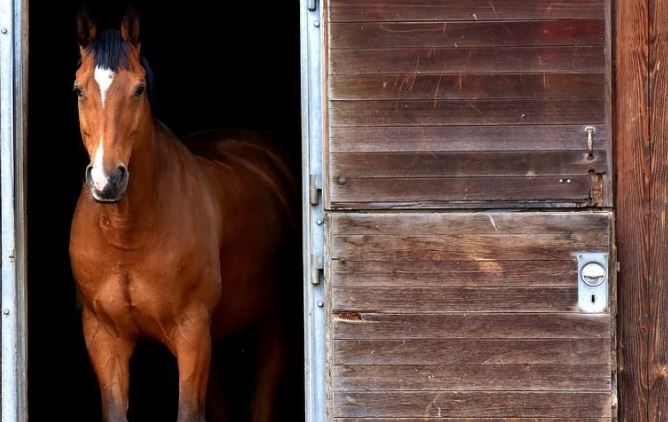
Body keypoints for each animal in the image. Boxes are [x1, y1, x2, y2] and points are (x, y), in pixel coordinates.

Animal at [69, 9, 296, 422]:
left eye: (139, 89)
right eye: (78, 90)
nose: (107, 180)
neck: (127, 235)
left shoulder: (191, 334)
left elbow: (189, 411)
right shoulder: (103, 336)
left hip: (273, 324)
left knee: (261, 402)